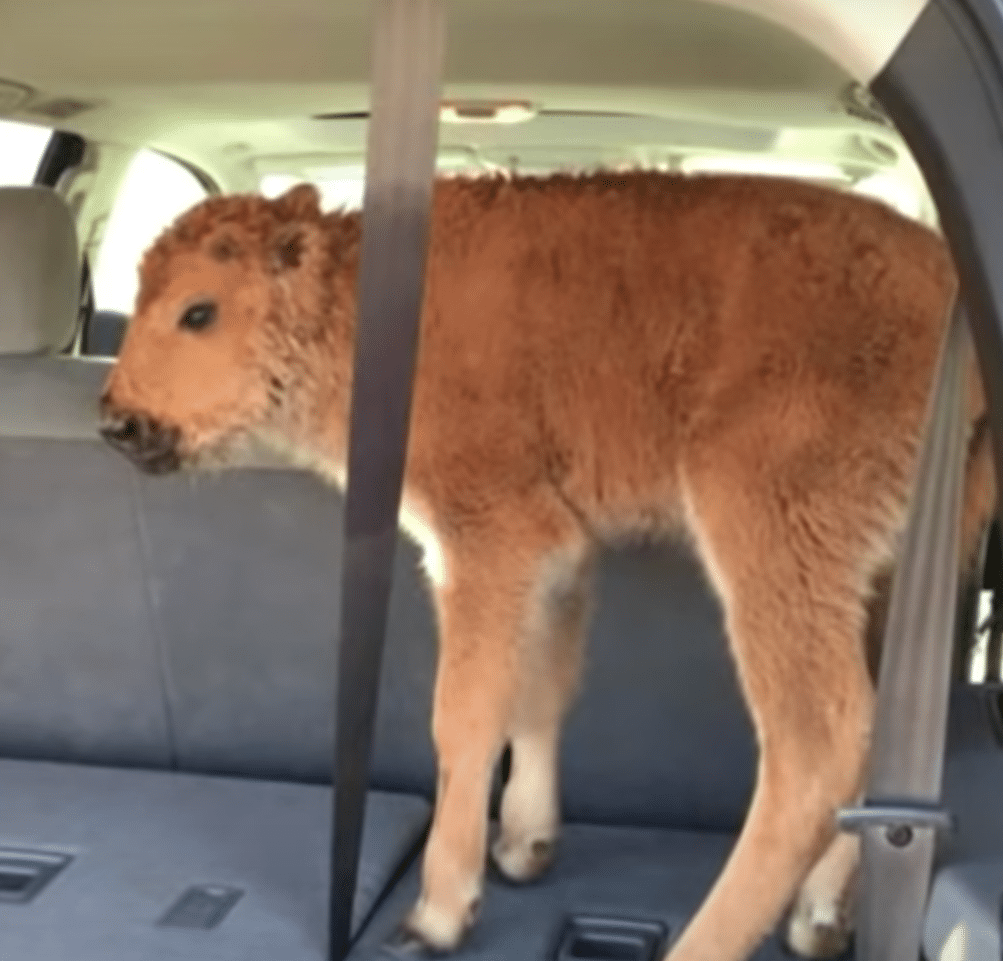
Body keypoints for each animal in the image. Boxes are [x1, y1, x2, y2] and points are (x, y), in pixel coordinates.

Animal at [99, 172, 994, 961]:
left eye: (199, 310)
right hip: (894, 567)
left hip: (774, 536)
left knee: (815, 741)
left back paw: (711, 940)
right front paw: (525, 846)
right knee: (885, 727)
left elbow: (464, 713)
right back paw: (820, 915)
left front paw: (438, 911)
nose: (117, 422)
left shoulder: (486, 537)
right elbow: (537, 691)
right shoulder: (558, 553)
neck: (353, 309)